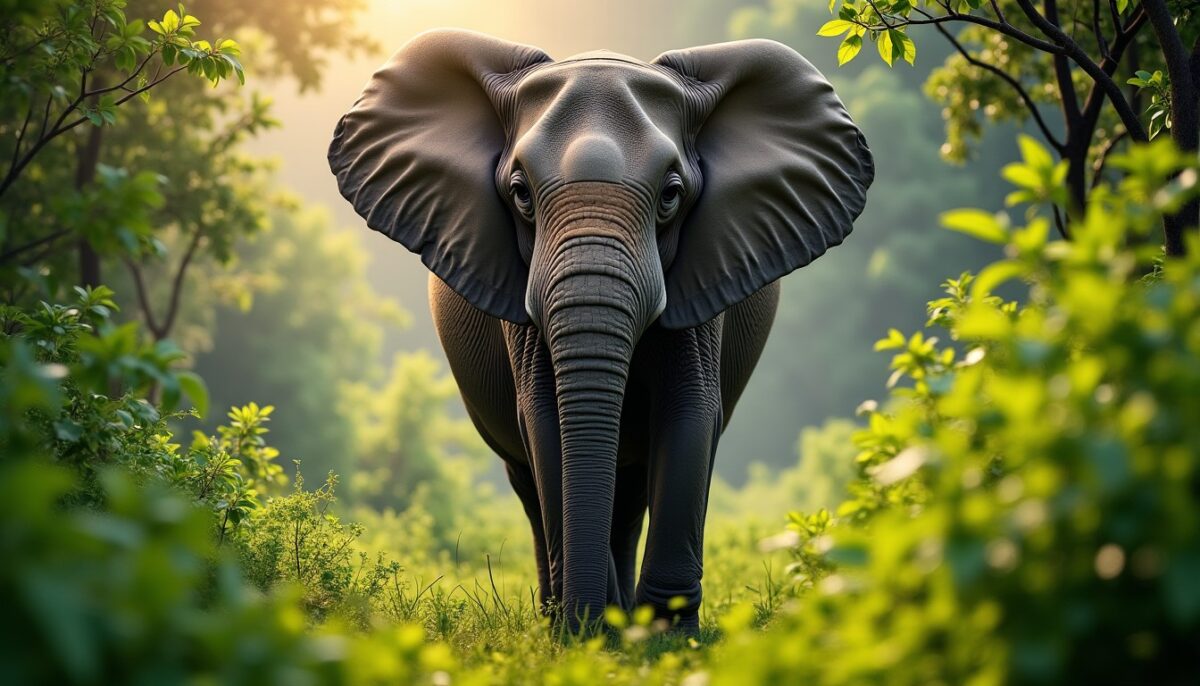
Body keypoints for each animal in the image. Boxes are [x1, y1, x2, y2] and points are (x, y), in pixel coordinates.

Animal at [328, 29, 873, 632]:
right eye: (520, 194)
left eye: (670, 196)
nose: (592, 623)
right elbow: (544, 420)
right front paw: (594, 632)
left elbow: (691, 411)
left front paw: (665, 636)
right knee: (531, 482)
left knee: (631, 492)